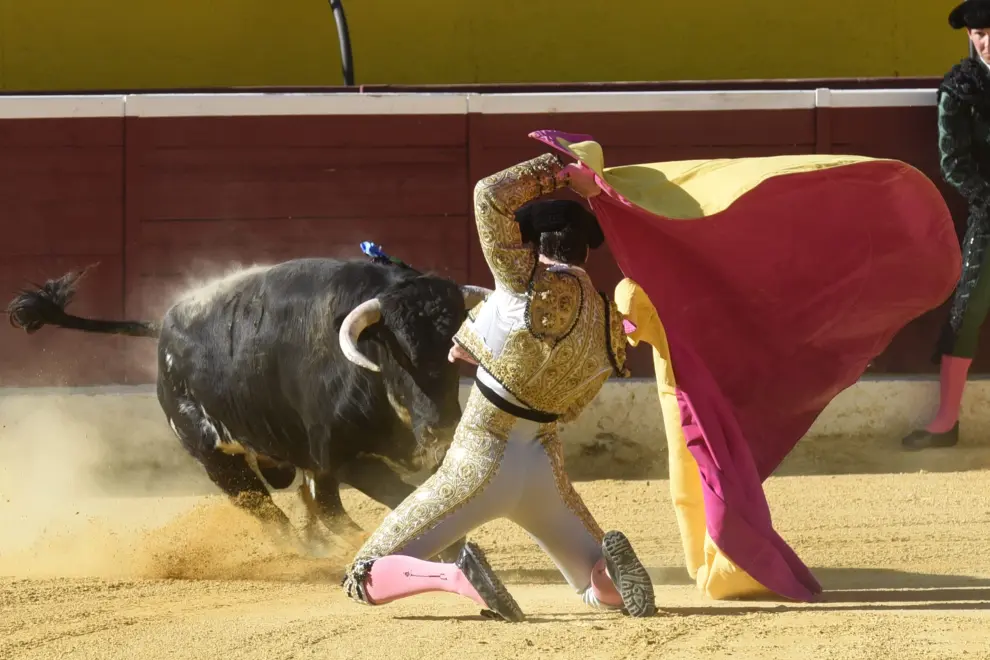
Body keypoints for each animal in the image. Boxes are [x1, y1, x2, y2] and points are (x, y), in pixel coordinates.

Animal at [3, 258, 492, 556]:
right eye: (397, 350)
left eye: (457, 346)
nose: (440, 429)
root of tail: (163, 325)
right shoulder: (344, 458)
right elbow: (398, 499)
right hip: (214, 457)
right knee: (273, 512)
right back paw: (308, 554)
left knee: (316, 506)